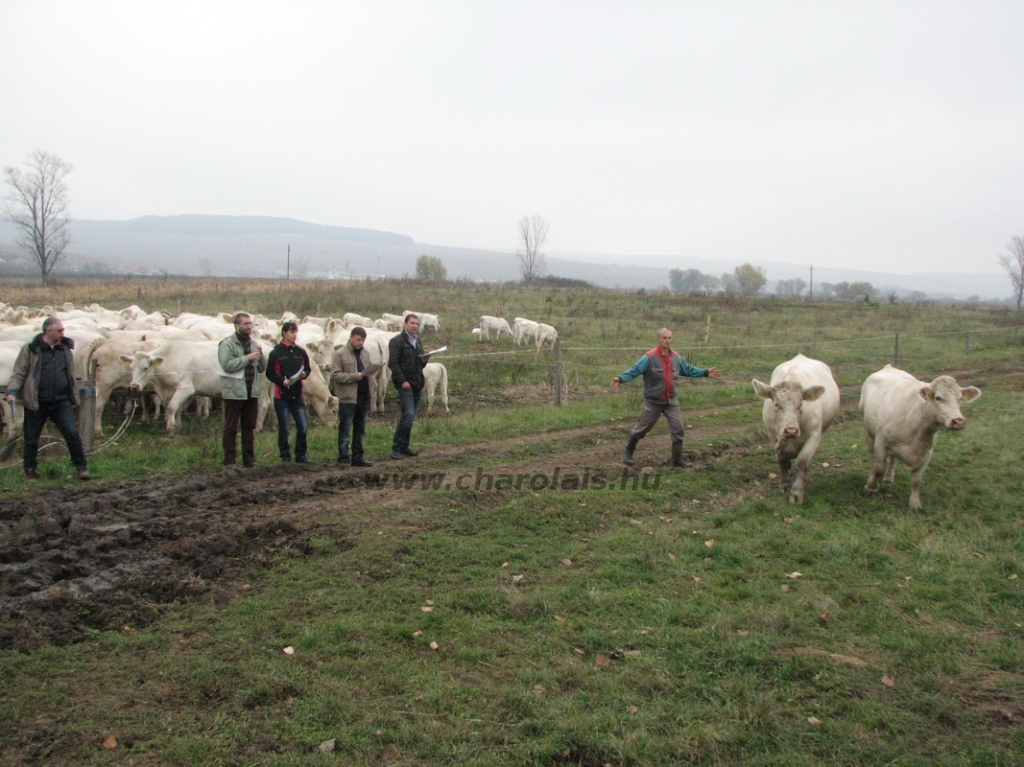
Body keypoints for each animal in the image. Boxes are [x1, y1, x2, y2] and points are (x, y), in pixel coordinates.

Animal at [753, 356, 839, 505]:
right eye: (776, 404)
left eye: (800, 404)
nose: (791, 430)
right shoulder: (773, 436)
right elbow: (782, 461)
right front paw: (785, 485)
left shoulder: (814, 436)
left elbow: (801, 462)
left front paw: (797, 493)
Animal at [860, 364, 978, 507]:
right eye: (938, 397)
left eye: (960, 398)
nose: (958, 421)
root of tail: (888, 367)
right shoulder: (881, 442)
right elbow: (878, 469)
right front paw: (871, 487)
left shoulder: (927, 453)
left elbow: (916, 480)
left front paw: (915, 503)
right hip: (869, 433)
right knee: (872, 458)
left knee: (892, 459)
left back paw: (888, 477)